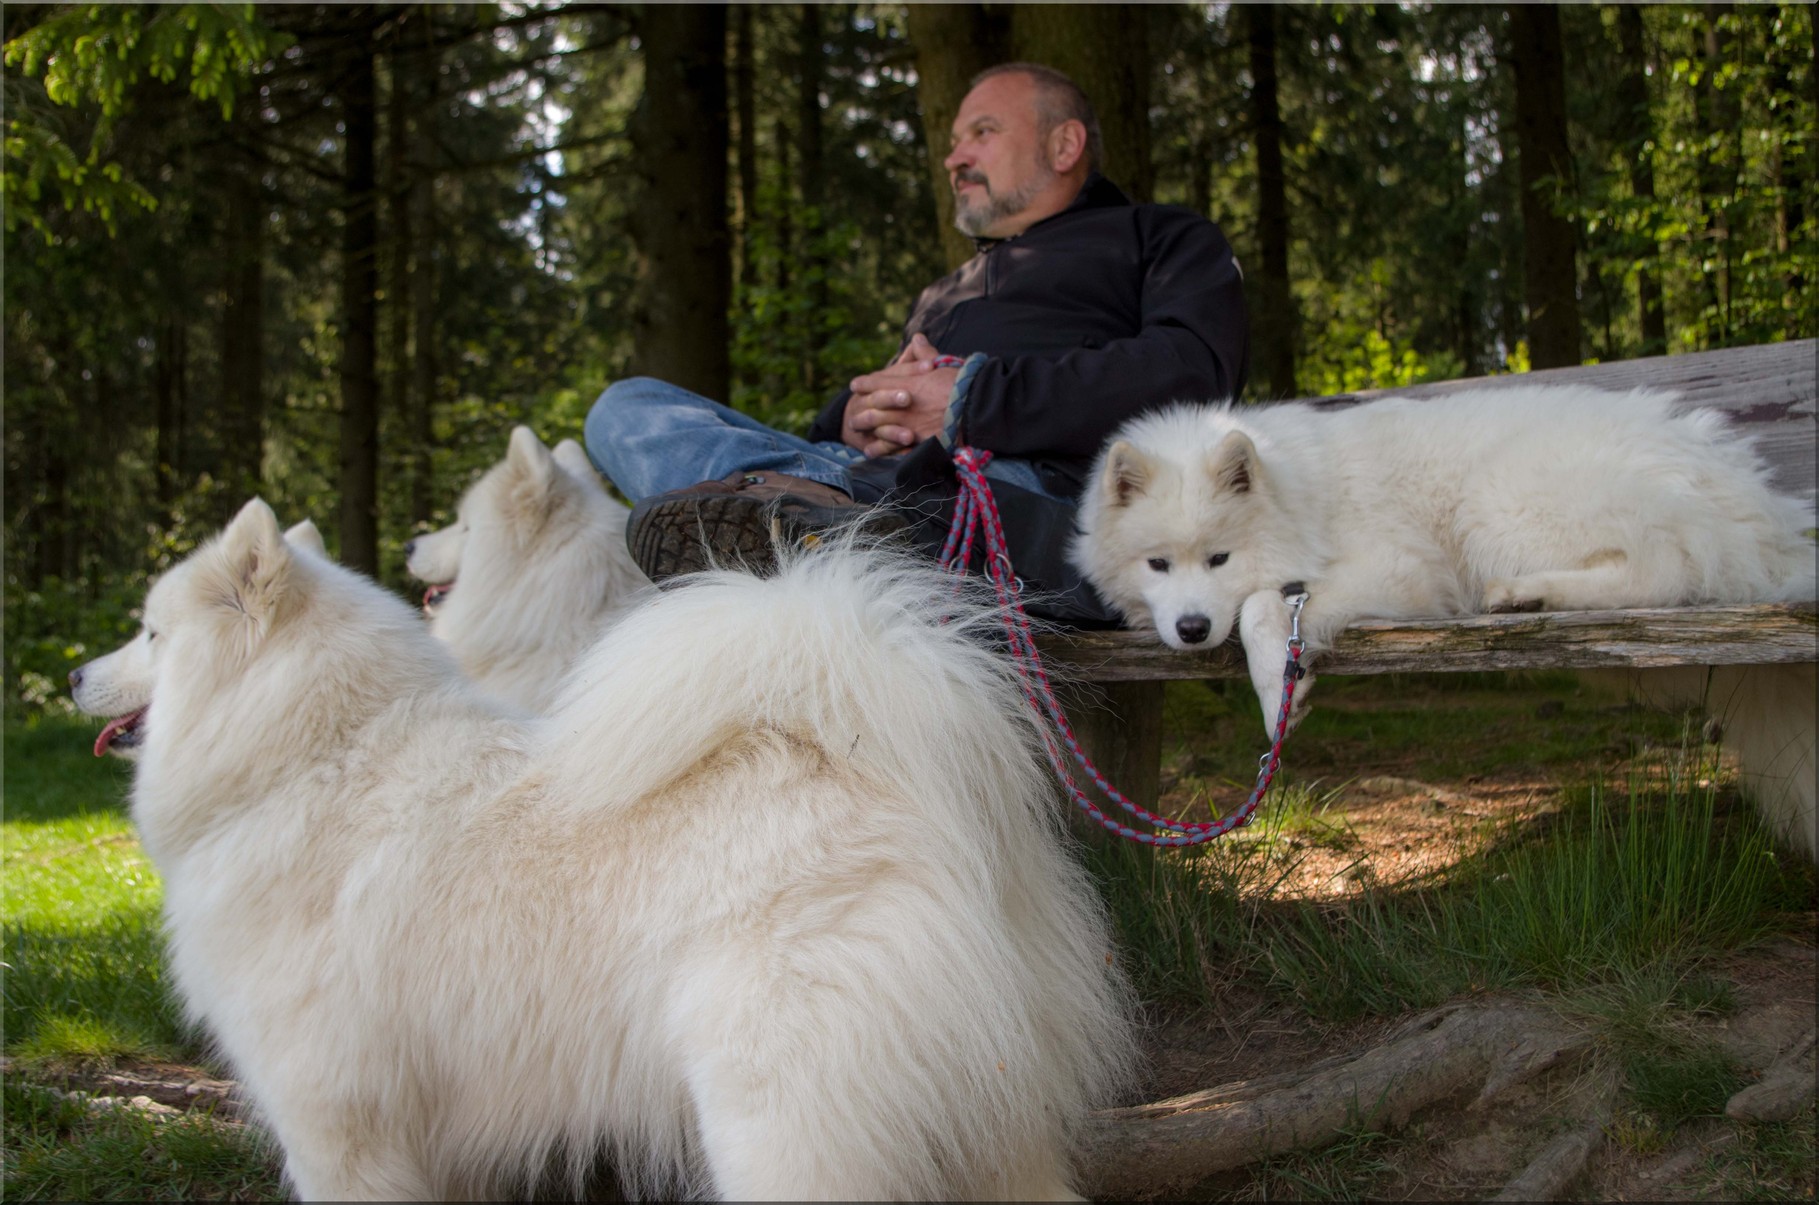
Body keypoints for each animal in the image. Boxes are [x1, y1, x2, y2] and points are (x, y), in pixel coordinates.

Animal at [74, 498, 1135, 1201]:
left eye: (151, 633)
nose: (77, 672)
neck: (311, 754)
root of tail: (917, 793)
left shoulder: (332, 1117)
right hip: (992, 1121)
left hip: (778, 1114)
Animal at [1069, 382, 1819, 855]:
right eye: (1157, 564)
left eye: (1218, 557)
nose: (1192, 629)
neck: (1299, 496)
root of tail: (1758, 509)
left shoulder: (1398, 567)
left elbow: (1261, 606)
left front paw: (1281, 684)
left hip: (1497, 498)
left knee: (1662, 570)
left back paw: (1526, 592)